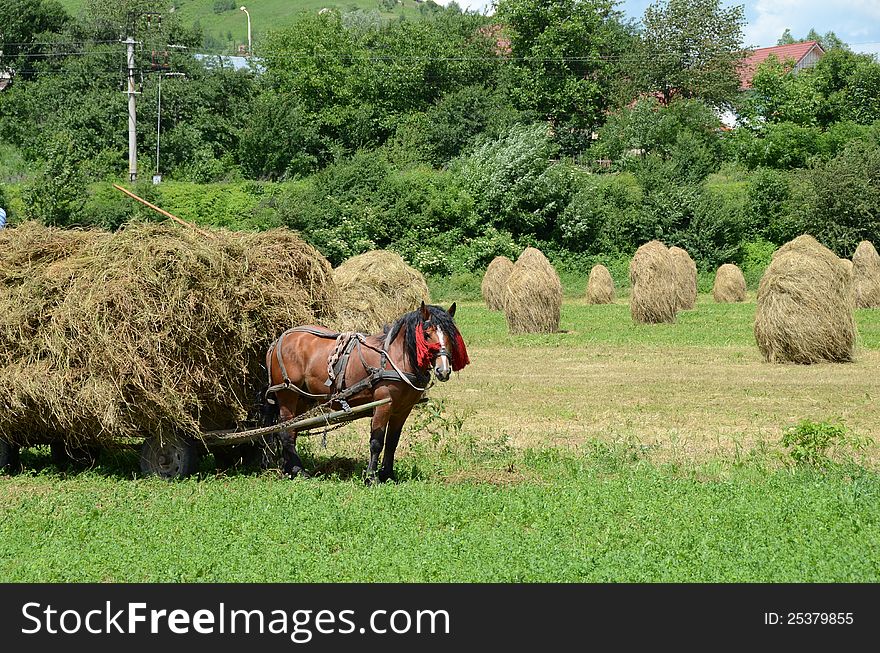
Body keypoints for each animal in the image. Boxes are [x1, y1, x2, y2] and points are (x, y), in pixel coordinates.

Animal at [262, 304, 468, 482]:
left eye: (450, 335)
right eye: (426, 334)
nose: (443, 371)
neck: (394, 359)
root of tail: (279, 340)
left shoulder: (402, 409)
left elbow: (392, 442)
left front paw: (388, 475)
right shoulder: (383, 405)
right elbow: (377, 441)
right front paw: (371, 477)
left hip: (303, 398)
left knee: (292, 429)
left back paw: (289, 469)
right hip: (287, 394)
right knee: (286, 432)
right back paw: (299, 471)